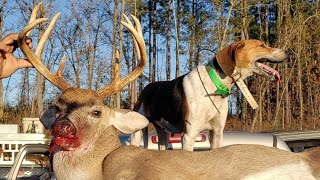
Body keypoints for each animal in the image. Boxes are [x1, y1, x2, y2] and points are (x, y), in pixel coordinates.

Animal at [130, 39, 290, 150]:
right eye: (262, 45)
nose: (288, 52)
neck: (216, 86)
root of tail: (145, 89)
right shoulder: (189, 135)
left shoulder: (217, 133)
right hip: (137, 133)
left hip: (164, 133)